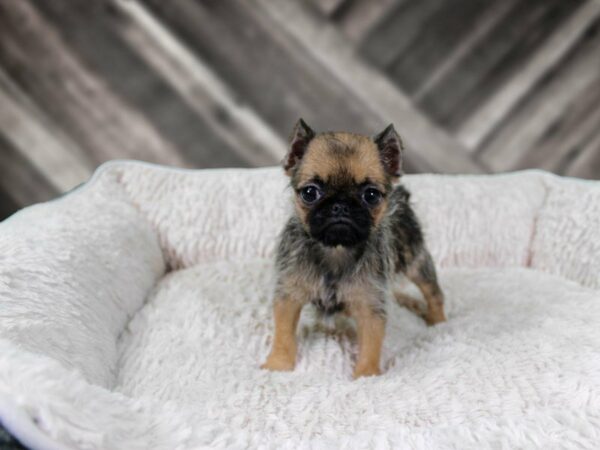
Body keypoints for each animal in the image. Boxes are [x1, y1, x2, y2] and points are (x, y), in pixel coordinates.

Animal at [262, 120, 446, 380]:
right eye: (310, 192)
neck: (336, 250)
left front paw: (366, 376)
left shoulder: (370, 307)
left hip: (417, 262)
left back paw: (439, 323)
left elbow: (370, 345)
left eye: (371, 195)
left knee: (434, 294)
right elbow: (284, 336)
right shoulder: (289, 296)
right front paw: (278, 365)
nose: (340, 205)